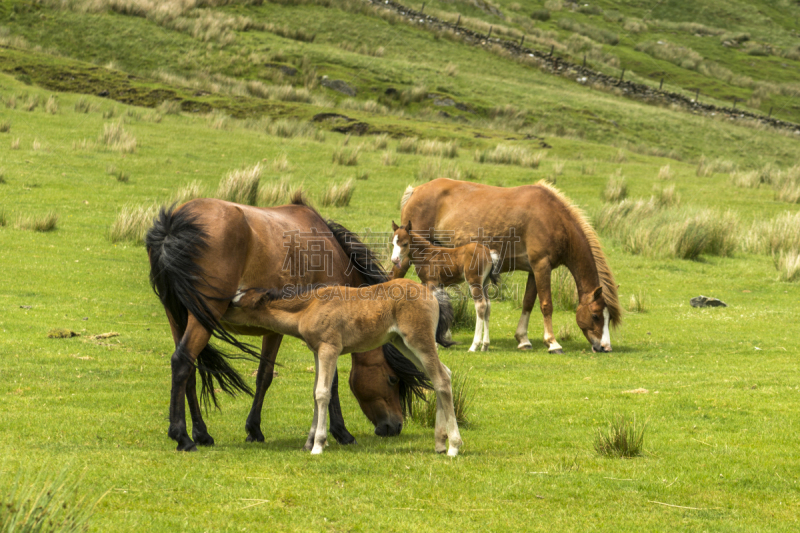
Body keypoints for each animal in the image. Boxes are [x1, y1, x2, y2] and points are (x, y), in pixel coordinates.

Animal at [145, 194, 432, 448]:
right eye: (392, 380)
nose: (394, 426)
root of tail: (174, 224)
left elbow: (264, 376)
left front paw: (254, 430)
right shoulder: (311, 332)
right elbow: (322, 382)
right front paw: (342, 433)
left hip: (178, 317)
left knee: (189, 369)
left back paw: (201, 434)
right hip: (203, 317)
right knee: (182, 361)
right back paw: (182, 437)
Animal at [227, 276, 462, 456]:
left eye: (236, 303)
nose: (221, 311)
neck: (310, 306)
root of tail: (431, 294)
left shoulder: (329, 349)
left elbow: (323, 393)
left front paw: (318, 445)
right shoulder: (317, 352)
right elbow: (315, 392)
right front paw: (309, 443)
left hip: (418, 341)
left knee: (442, 379)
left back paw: (453, 446)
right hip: (403, 343)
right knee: (442, 375)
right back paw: (440, 443)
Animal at [390, 218, 496, 352]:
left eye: (404, 243)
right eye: (393, 244)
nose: (394, 260)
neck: (426, 255)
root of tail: (488, 253)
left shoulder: (431, 283)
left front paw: (436, 343)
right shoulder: (435, 284)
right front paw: (445, 337)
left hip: (474, 282)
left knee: (481, 306)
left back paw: (474, 345)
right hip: (485, 282)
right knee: (488, 306)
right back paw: (485, 345)